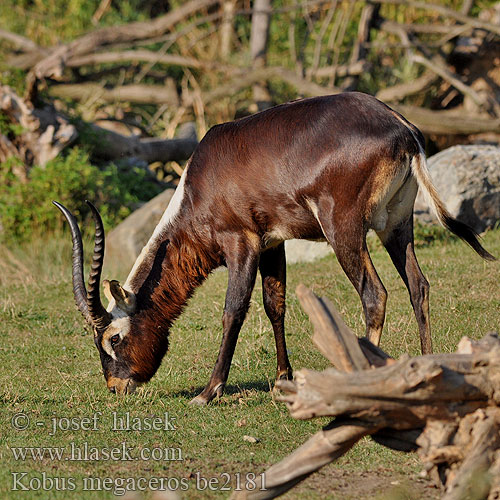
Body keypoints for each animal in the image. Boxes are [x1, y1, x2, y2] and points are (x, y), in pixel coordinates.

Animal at [56, 91, 494, 402]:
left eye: (113, 338)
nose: (116, 387)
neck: (200, 179)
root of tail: (402, 129)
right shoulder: (272, 244)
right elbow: (274, 305)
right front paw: (283, 379)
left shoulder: (241, 242)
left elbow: (233, 311)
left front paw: (209, 391)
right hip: (396, 226)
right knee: (418, 285)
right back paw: (425, 371)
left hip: (344, 230)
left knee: (375, 294)